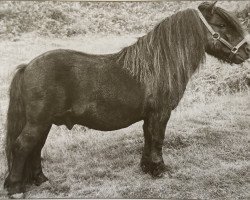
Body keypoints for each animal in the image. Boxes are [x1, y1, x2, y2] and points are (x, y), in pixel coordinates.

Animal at [3, 1, 250, 197]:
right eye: (222, 26)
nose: (246, 51)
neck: (158, 65)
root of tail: (28, 66)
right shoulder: (160, 113)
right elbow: (157, 139)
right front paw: (159, 169)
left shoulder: (150, 116)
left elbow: (148, 138)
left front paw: (147, 167)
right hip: (38, 122)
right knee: (23, 146)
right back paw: (15, 188)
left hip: (43, 123)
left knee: (35, 147)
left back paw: (40, 180)